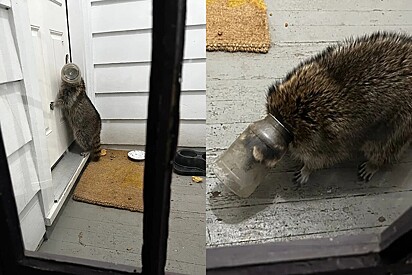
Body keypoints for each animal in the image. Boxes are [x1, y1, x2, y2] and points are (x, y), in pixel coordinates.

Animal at [254, 31, 412, 188]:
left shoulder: (327, 142)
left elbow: (320, 159)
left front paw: (307, 169)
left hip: (399, 125)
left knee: (383, 148)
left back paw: (374, 164)